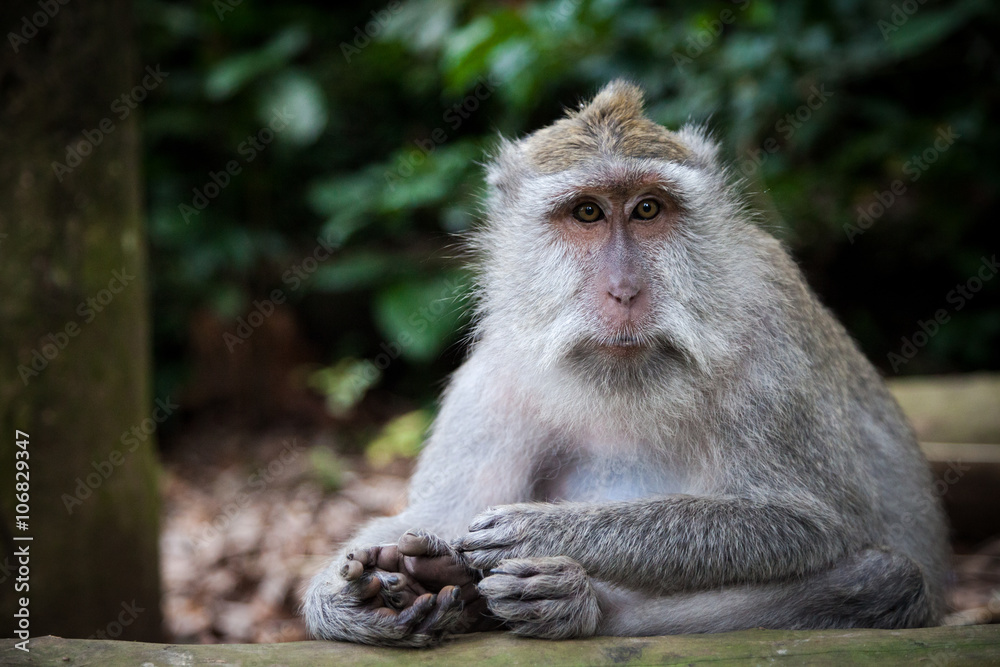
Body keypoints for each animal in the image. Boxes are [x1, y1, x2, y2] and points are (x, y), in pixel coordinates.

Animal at [303, 79, 949, 646]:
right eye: (588, 213)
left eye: (647, 209)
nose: (624, 290)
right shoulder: (496, 373)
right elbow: (437, 512)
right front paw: (345, 599)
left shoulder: (771, 327)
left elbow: (809, 520)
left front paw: (543, 532)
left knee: (885, 579)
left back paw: (576, 605)